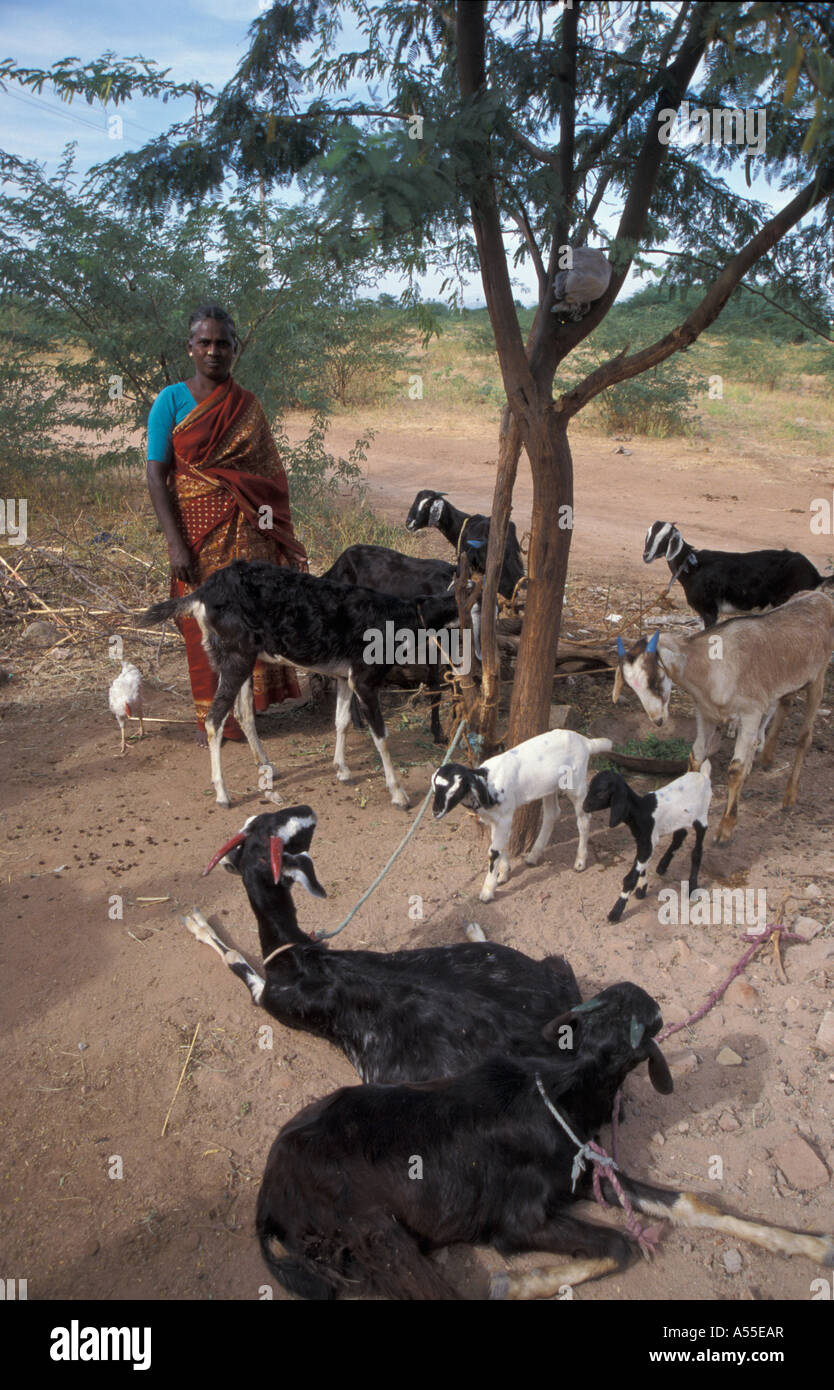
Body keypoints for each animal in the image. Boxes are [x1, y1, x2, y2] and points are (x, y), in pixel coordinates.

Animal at [140, 558, 461, 811]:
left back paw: (266, 765)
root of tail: (202, 592)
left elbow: (342, 721)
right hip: (236, 656)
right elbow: (381, 736)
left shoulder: (345, 676)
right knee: (213, 719)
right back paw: (223, 794)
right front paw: (399, 795)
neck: (398, 617)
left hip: (241, 658)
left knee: (242, 713)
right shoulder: (365, 679)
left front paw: (342, 770)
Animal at [255, 978, 834, 1301]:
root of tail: (267, 1192)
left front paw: (810, 1245)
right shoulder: (519, 1221)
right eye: (650, 1027)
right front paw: (516, 1284)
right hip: (374, 1235)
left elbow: (691, 1204)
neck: (563, 1091)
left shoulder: (585, 1173)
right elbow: (619, 1245)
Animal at [430, 728, 611, 900]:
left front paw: (487, 891)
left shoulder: (505, 817)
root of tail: (586, 742)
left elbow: (494, 851)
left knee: (583, 819)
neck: (488, 783)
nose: (436, 811)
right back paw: (533, 856)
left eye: (458, 788)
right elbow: (499, 844)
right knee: (552, 813)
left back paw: (580, 862)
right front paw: (503, 874)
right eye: (436, 786)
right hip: (550, 787)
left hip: (576, 785)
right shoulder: (496, 820)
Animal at [583, 761, 711, 922]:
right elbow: (642, 865)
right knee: (680, 835)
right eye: (589, 788)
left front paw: (616, 911)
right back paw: (662, 866)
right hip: (681, 818)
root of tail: (704, 775)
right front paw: (642, 889)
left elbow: (630, 878)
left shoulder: (647, 842)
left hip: (702, 817)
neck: (641, 810)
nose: (584, 807)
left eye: (600, 793)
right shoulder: (641, 840)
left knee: (697, 852)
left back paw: (692, 887)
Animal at [644, 522, 822, 631]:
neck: (693, 566)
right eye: (649, 536)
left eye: (666, 538)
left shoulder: (709, 610)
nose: (646, 556)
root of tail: (816, 575)